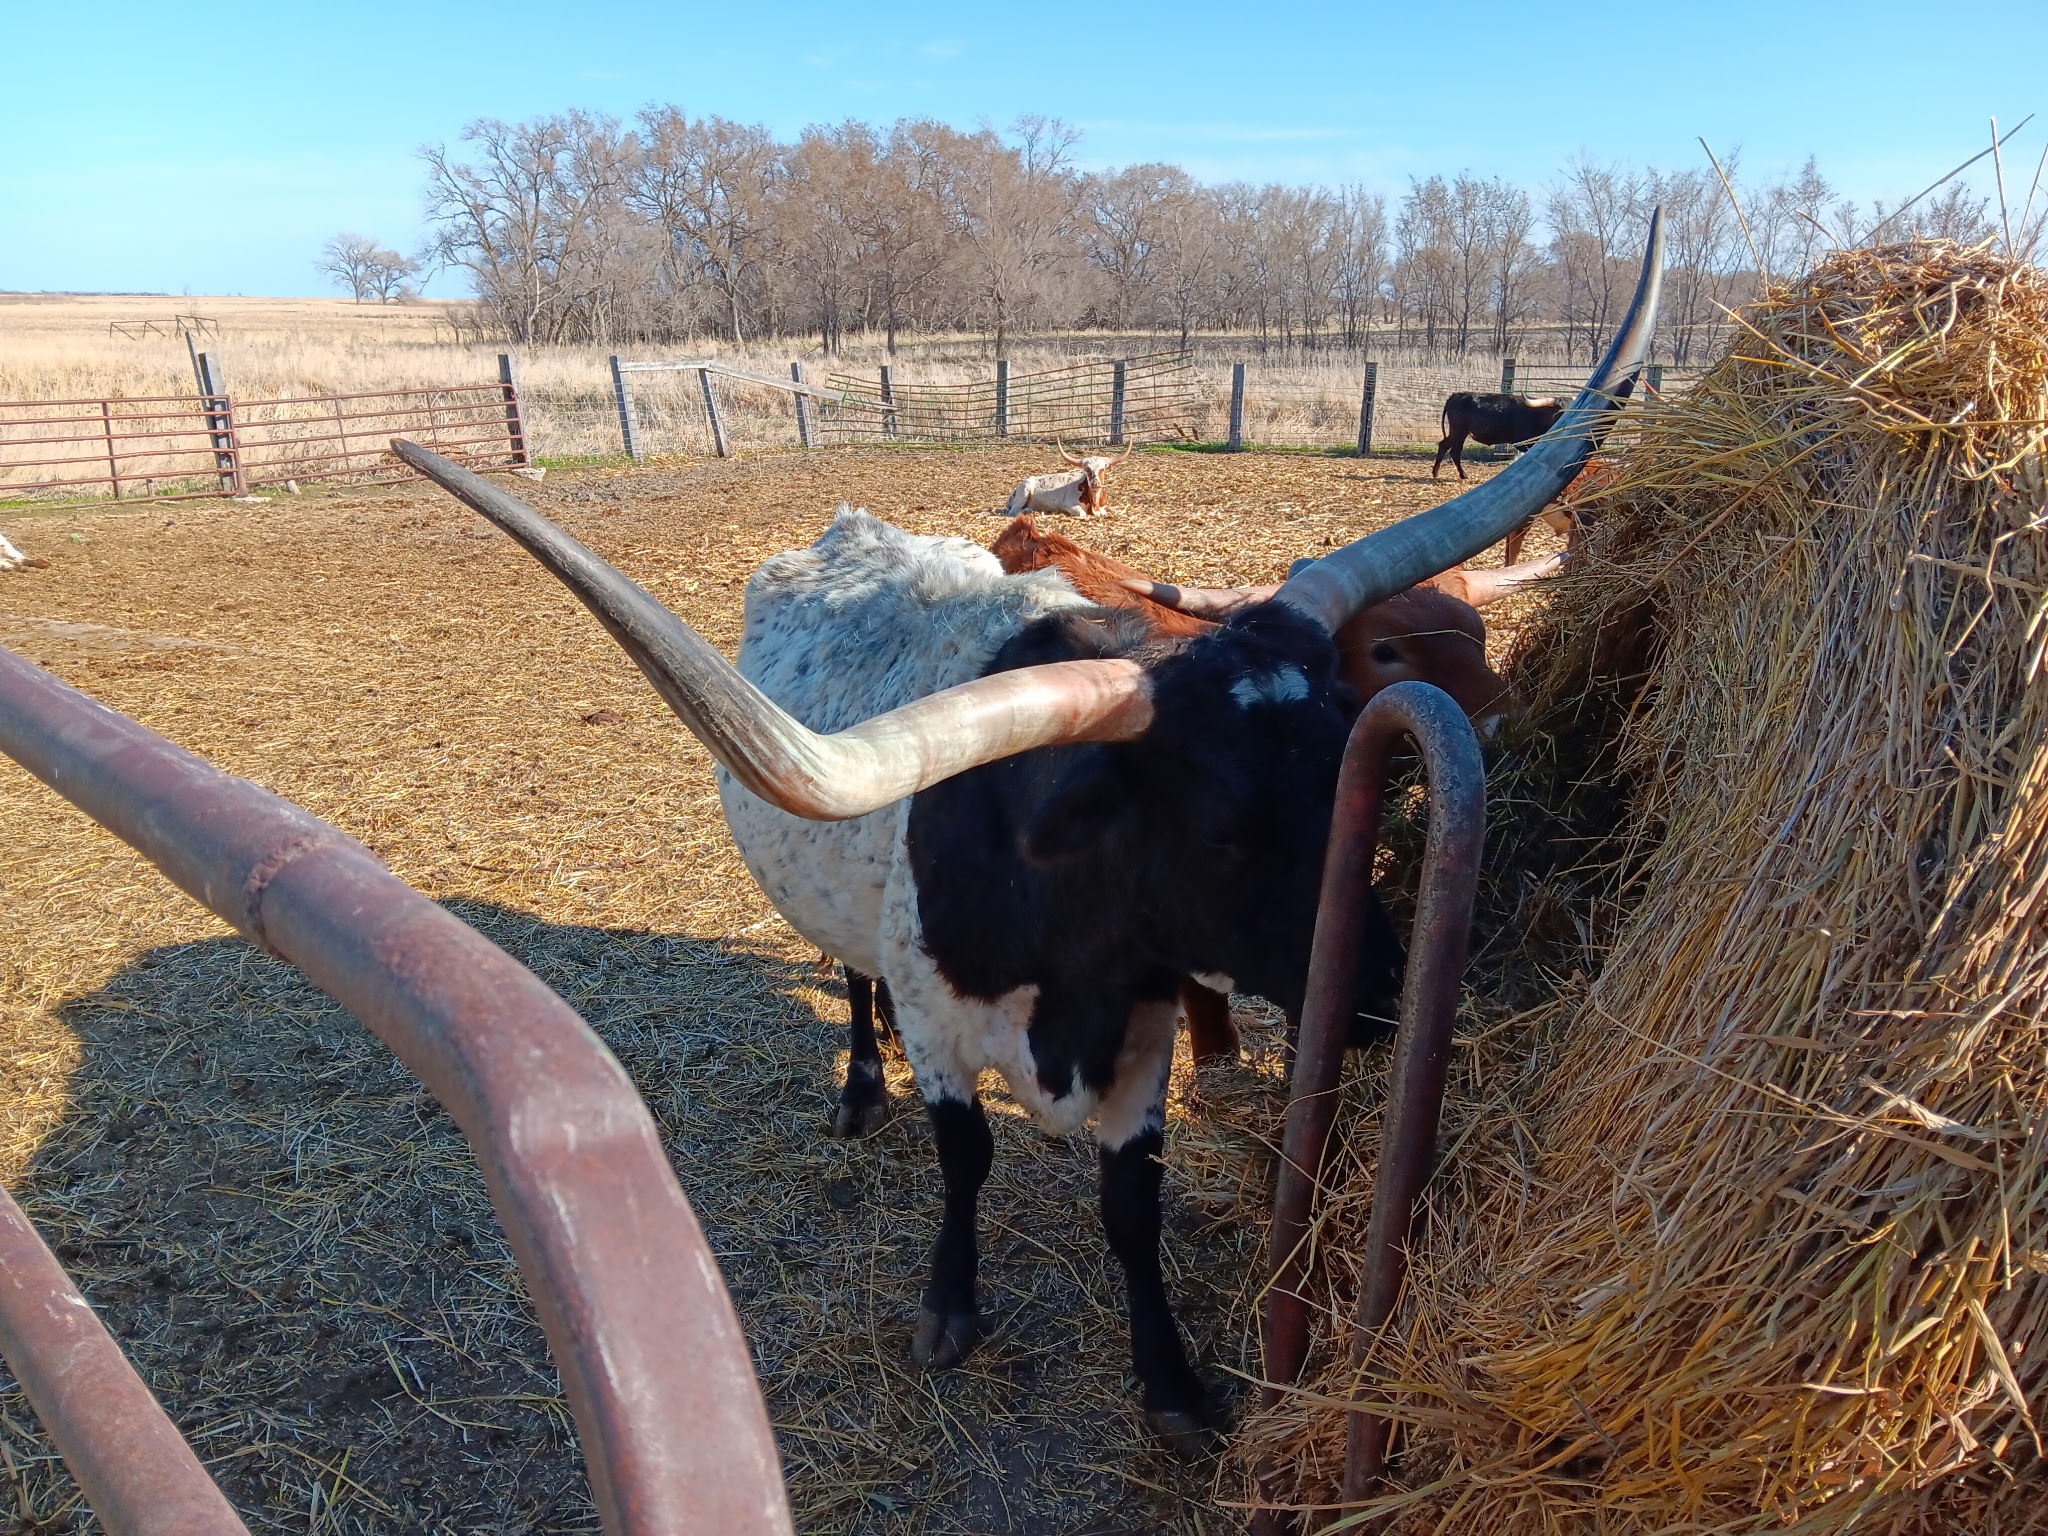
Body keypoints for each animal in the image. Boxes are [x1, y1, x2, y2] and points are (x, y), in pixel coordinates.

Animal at [1005, 441, 1133, 518]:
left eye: (1103, 469)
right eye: (1087, 469)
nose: (1095, 483)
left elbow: (1103, 512)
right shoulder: (1068, 505)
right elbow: (1082, 513)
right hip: (1024, 491)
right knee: (1014, 511)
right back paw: (1028, 511)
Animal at [1433, 392, 1565, 481]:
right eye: (1559, 412)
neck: (1537, 415)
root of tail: (1457, 395)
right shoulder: (1522, 443)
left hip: (1455, 432)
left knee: (1443, 445)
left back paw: (1435, 472)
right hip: (1459, 431)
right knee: (1455, 451)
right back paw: (1463, 475)